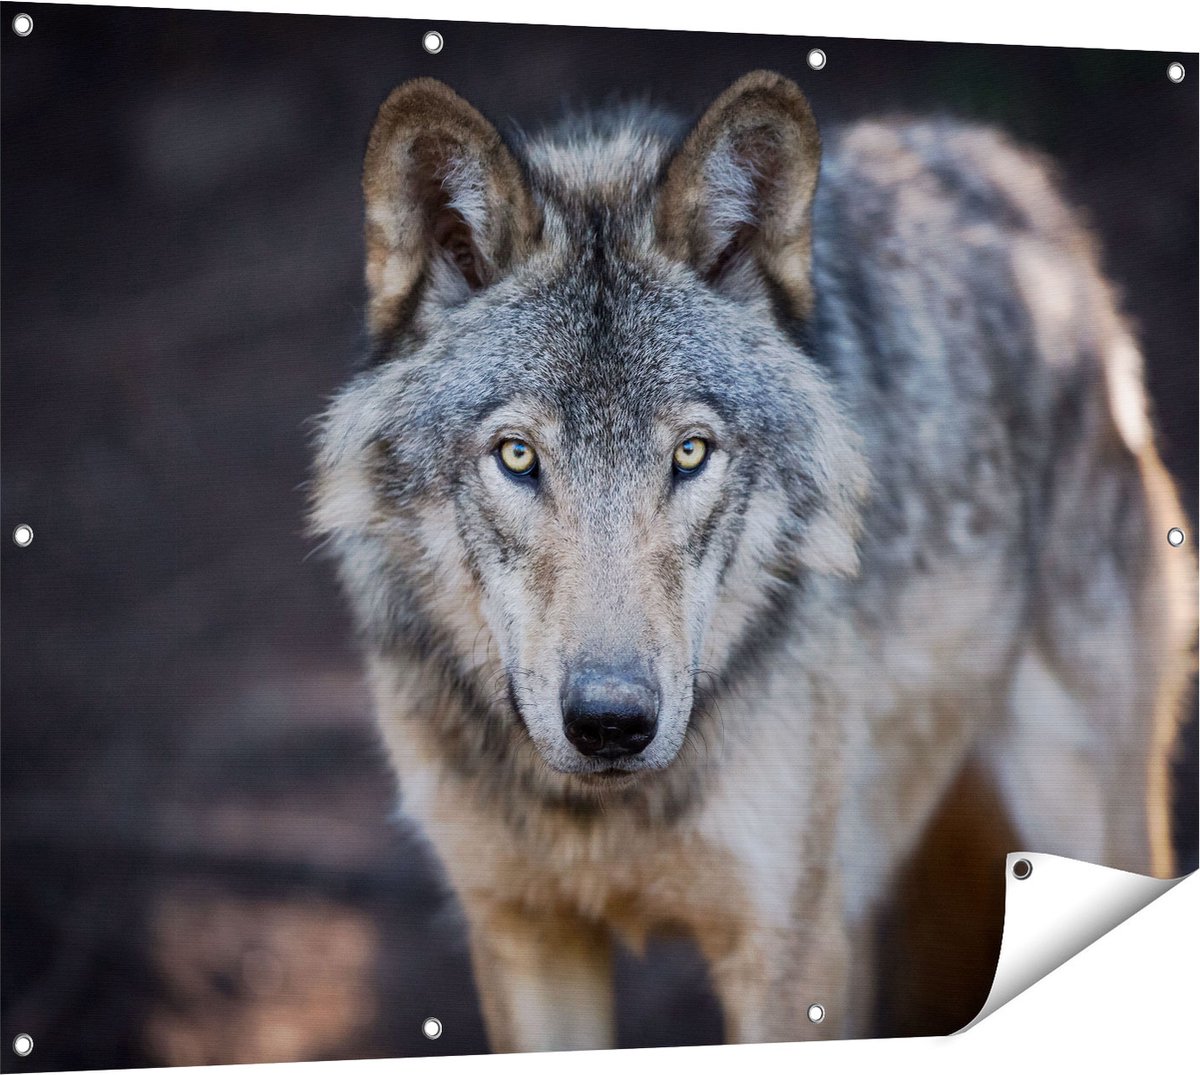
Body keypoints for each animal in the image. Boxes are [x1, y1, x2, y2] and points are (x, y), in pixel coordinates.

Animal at [311, 71, 1197, 1049]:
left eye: (691, 453)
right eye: (516, 456)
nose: (611, 722)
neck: (601, 812)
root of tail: (1007, 172)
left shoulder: (784, 951)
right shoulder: (524, 934)